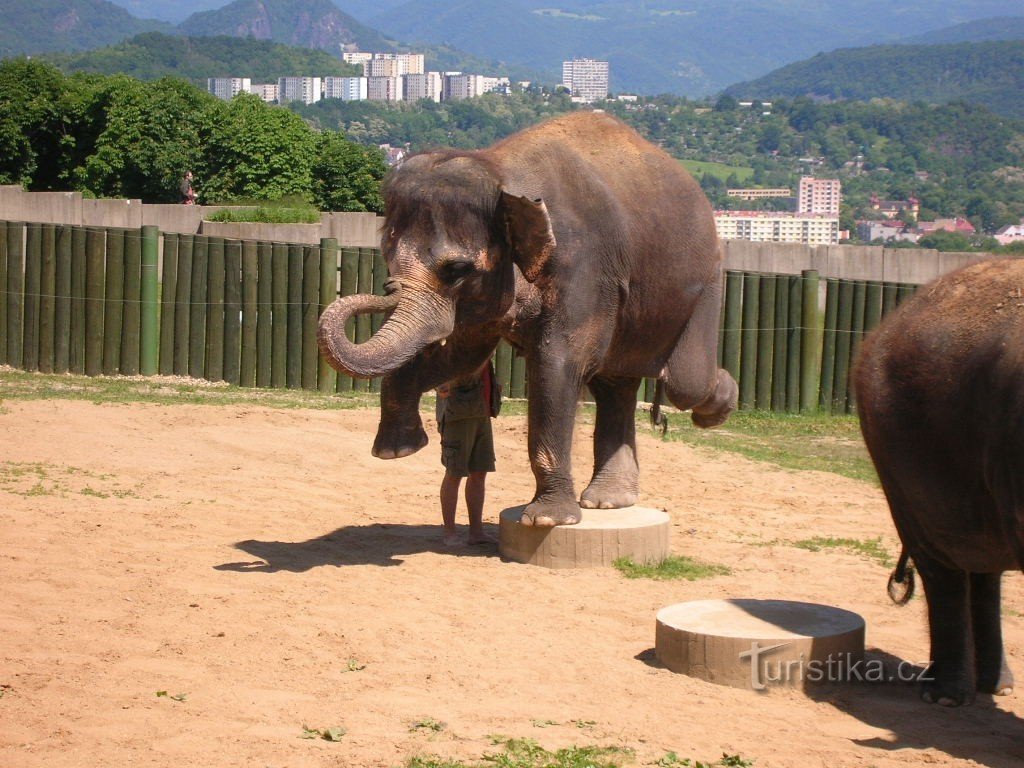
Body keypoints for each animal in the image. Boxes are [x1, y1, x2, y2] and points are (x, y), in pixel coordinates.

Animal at [317, 109, 737, 528]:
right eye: (388, 258)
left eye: (457, 270)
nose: (388, 287)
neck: (502, 174)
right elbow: (462, 358)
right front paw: (397, 451)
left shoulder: (584, 266)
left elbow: (558, 362)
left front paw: (547, 521)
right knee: (615, 386)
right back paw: (608, 502)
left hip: (708, 281)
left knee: (685, 383)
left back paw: (719, 406)